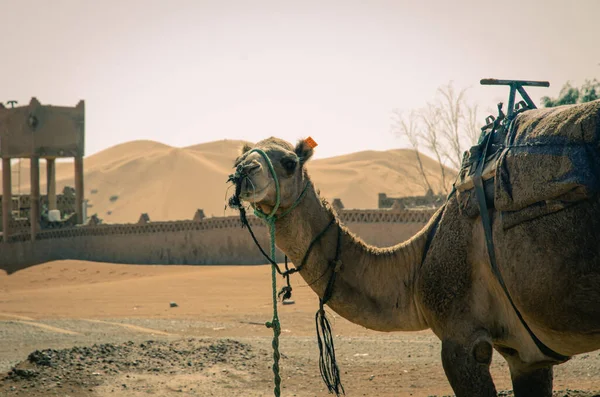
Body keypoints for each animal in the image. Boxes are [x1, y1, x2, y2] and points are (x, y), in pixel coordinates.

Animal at [230, 126, 600, 392]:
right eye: (242, 157)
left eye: (289, 163)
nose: (243, 171)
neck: (418, 260)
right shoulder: (526, 355)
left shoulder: (463, 340)